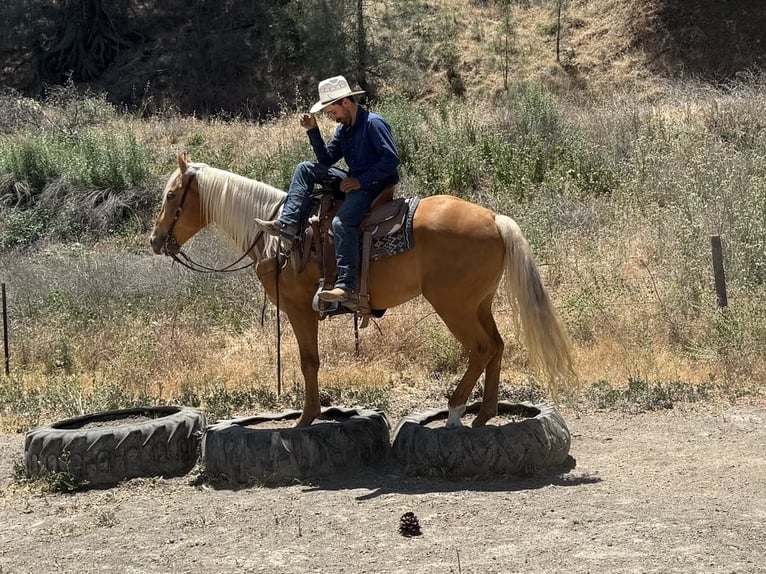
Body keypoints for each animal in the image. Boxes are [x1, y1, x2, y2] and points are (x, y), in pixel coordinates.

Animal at [150, 154, 577, 427]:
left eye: (171, 196)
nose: (155, 240)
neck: (280, 236)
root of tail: (493, 217)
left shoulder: (298, 309)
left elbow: (309, 362)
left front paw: (306, 417)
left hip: (453, 305)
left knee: (481, 348)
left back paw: (456, 410)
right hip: (479, 303)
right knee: (497, 346)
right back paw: (485, 413)